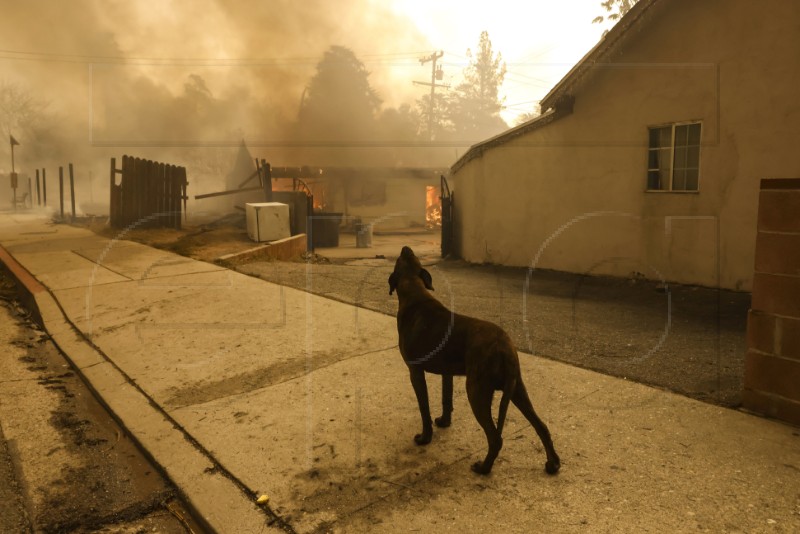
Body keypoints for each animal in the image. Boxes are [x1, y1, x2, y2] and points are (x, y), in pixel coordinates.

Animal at [390, 247, 564, 478]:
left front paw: (425, 438)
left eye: (399, 259)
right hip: (517, 389)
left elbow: (424, 408)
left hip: (477, 391)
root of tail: (504, 347)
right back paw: (552, 463)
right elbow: (446, 400)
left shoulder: (415, 371)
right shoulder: (447, 372)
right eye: (409, 257)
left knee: (495, 438)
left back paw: (484, 468)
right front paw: (444, 422)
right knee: (541, 426)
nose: (405, 248)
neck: (415, 291)